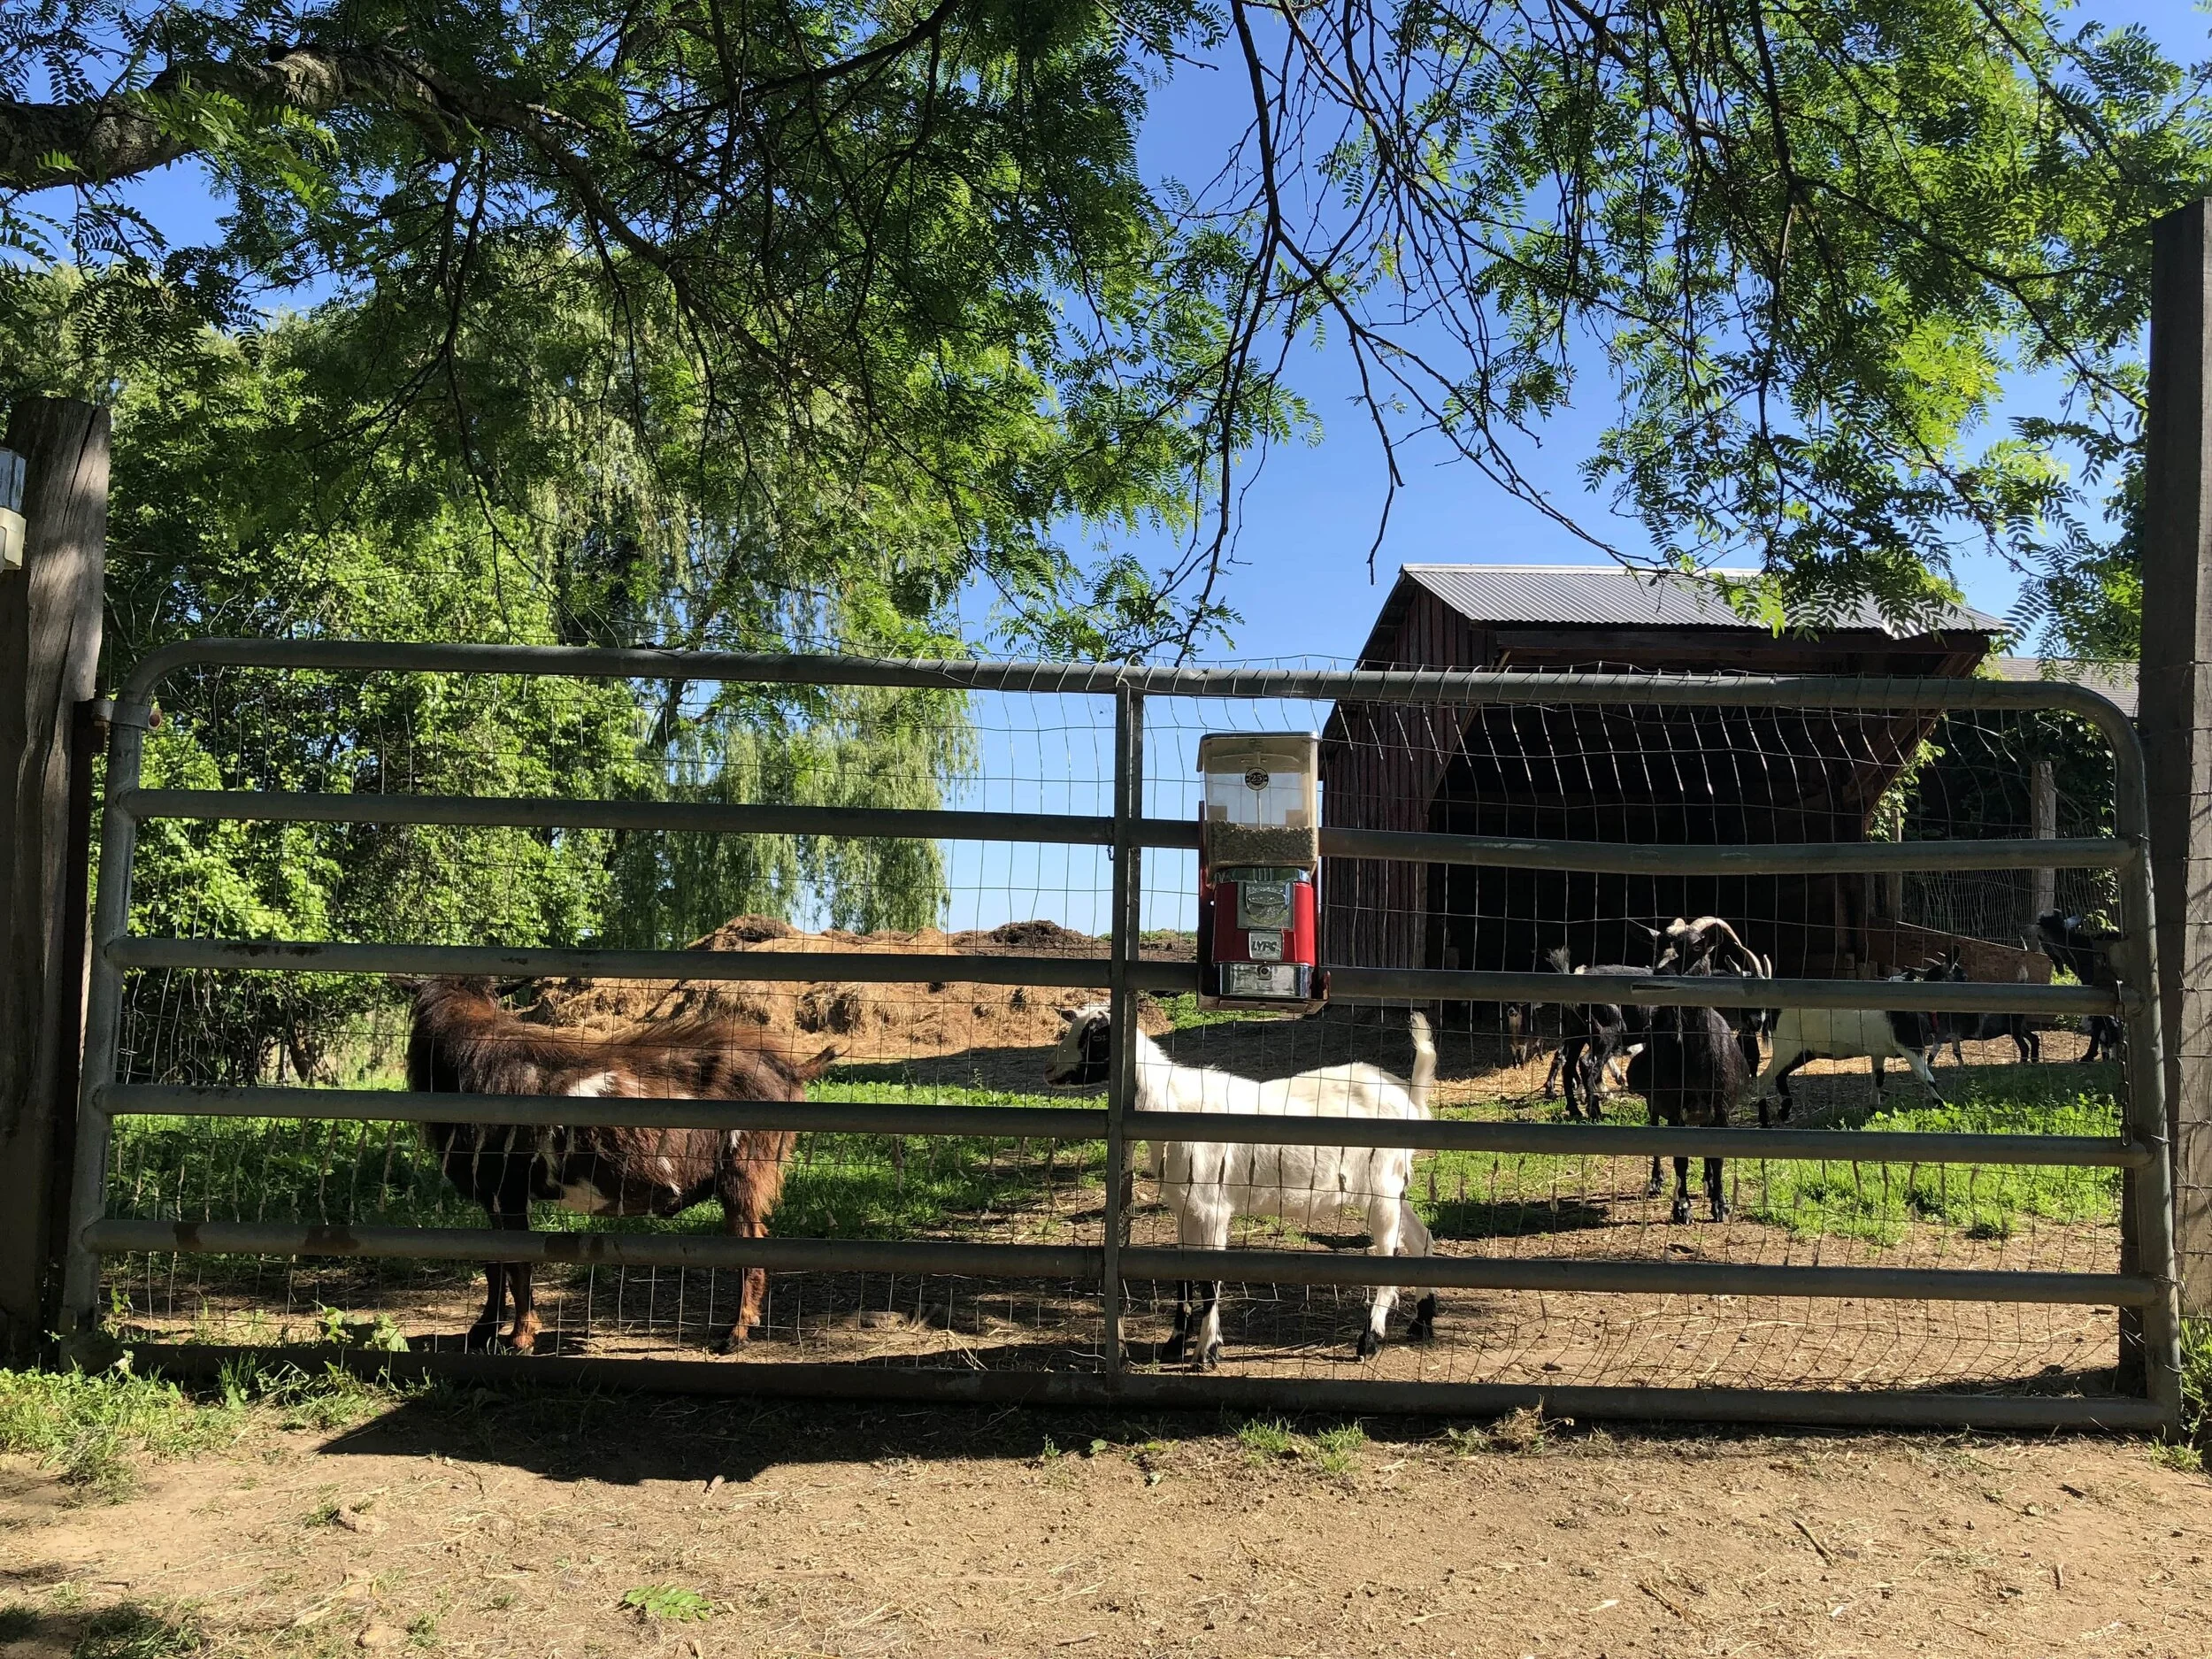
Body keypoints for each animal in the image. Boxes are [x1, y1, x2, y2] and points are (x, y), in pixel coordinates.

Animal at [407, 978, 838, 1353]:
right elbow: (494, 1262)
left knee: (751, 1245)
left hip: (745, 1171)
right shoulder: (494, 1197)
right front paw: (482, 1331)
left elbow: (518, 1263)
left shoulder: (505, 1190)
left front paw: (520, 1338)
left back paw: (735, 1335)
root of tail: (791, 1069)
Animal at [1044, 1005, 1436, 1367]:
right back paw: (1422, 1323)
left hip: (1381, 1187)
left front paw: (1206, 1351)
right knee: (1421, 1237)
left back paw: (1370, 1340)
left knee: (1390, 1254)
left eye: (1096, 1037)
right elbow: (1182, 1275)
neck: (1172, 1102)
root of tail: (1409, 1098)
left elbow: (1209, 1281)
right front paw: (1175, 1345)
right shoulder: (1185, 1206)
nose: (1049, 1071)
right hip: (1392, 1186)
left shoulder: (1213, 1207)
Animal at [1750, 965, 1944, 1124]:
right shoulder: (1910, 1045)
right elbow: (1925, 1076)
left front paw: (1873, 1107)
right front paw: (1941, 1105)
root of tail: (1774, 1011)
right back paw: (1765, 1121)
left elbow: (1878, 1077)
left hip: (1802, 1050)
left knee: (1780, 1075)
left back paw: (1784, 1112)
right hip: (1787, 1047)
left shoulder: (1878, 1051)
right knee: (1765, 1078)